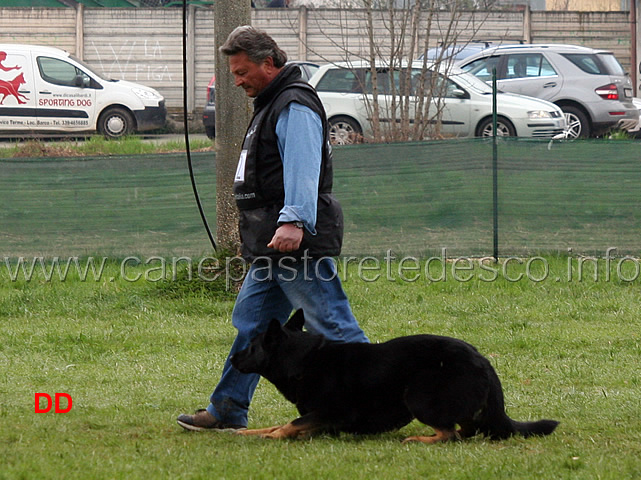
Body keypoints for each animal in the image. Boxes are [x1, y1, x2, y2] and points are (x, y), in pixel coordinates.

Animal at [230, 310, 556, 444]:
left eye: (251, 346)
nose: (232, 359)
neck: (303, 359)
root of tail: (483, 361)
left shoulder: (333, 413)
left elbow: (291, 424)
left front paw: (273, 435)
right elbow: (283, 423)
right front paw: (245, 432)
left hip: (418, 396)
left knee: (450, 434)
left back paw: (419, 439)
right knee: (466, 430)